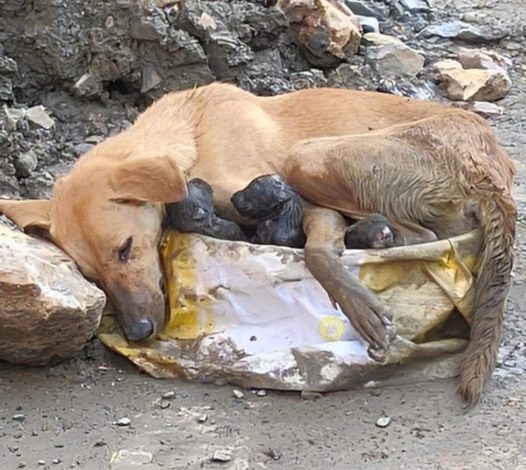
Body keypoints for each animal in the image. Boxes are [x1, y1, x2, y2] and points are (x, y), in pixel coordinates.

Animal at [0, 82, 516, 406]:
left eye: (126, 249)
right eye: (92, 276)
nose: (140, 332)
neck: (192, 137)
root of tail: (491, 160)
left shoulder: (305, 205)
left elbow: (316, 252)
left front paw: (357, 303)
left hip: (309, 156)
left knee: (422, 237)